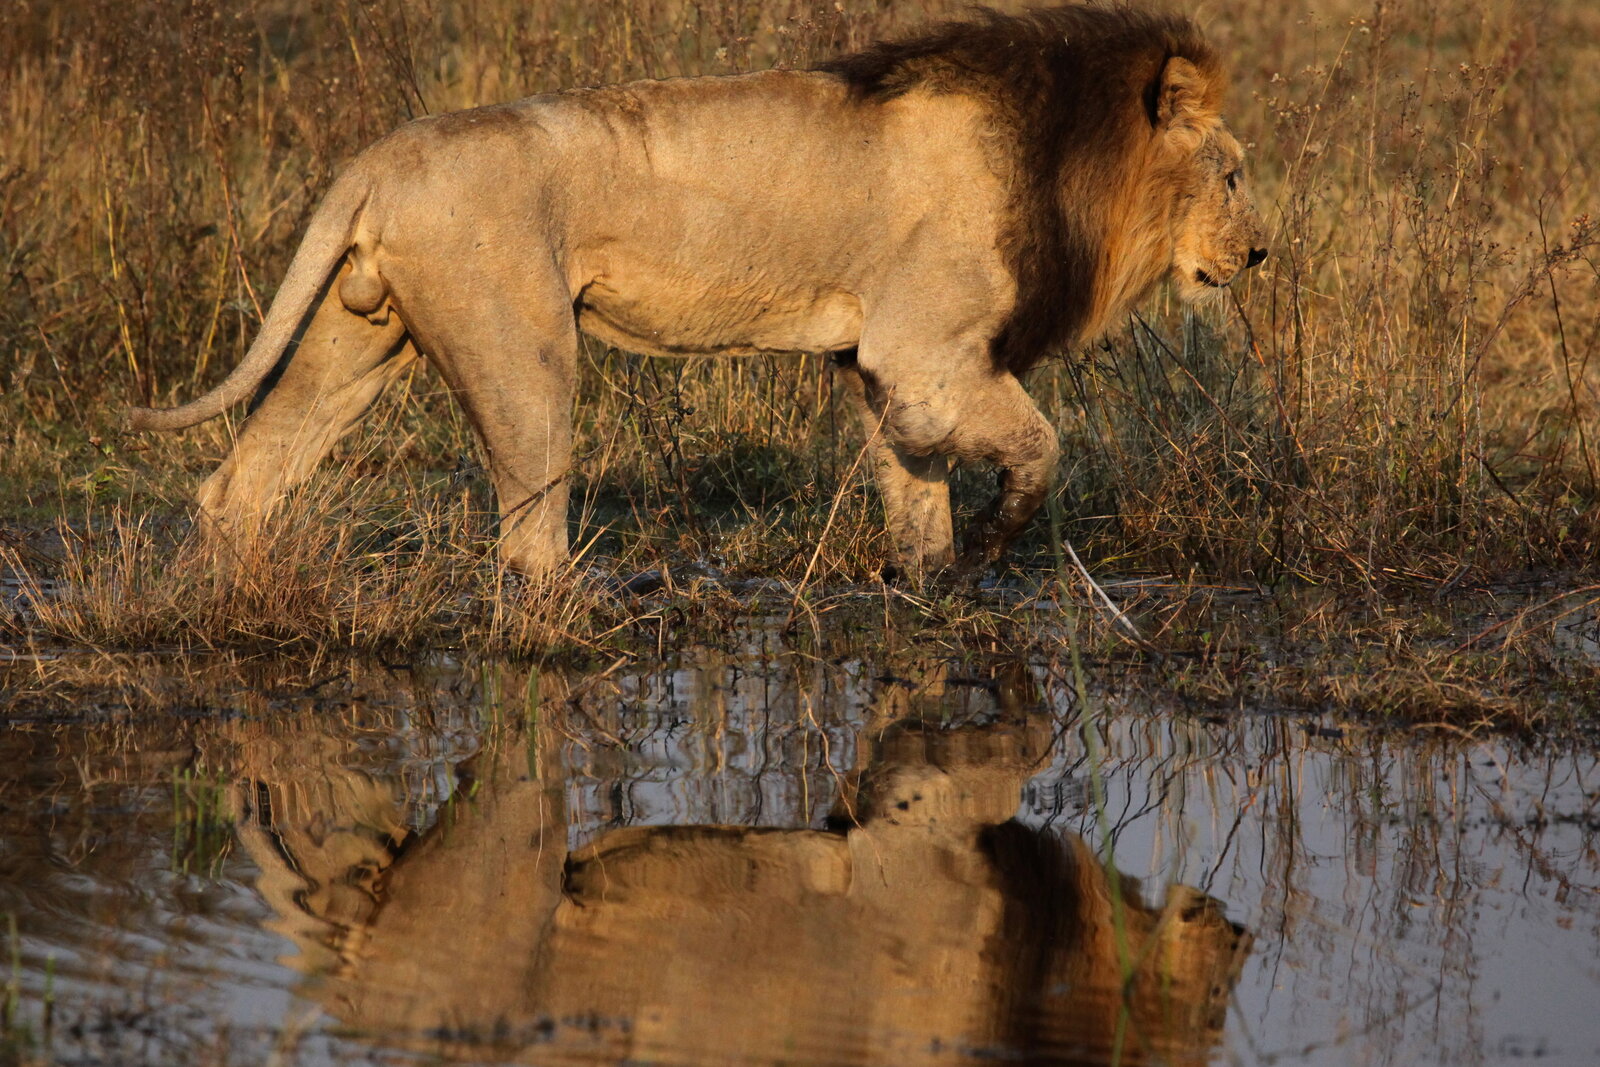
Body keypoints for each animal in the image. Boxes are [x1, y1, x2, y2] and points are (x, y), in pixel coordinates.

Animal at [127, 5, 1267, 580]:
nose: (1260, 255)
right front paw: (998, 537)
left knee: (241, 485)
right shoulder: (926, 356)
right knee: (528, 536)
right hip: (524, 355)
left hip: (355, 337)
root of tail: (378, 157)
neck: (1075, 157)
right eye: (1233, 174)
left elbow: (915, 499)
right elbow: (1040, 444)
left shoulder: (882, 371)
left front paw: (934, 589)